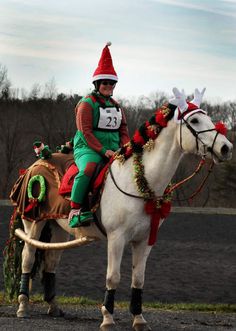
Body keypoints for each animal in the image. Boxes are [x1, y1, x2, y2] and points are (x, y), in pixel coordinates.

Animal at [10, 89, 231, 331]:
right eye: (195, 120)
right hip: (34, 222)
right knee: (28, 258)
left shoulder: (145, 240)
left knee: (51, 262)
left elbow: (138, 279)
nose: (226, 148)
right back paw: (22, 306)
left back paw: (53, 306)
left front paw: (139, 318)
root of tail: (37, 162)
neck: (140, 181)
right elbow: (113, 277)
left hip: (58, 227)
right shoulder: (117, 238)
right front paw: (107, 317)